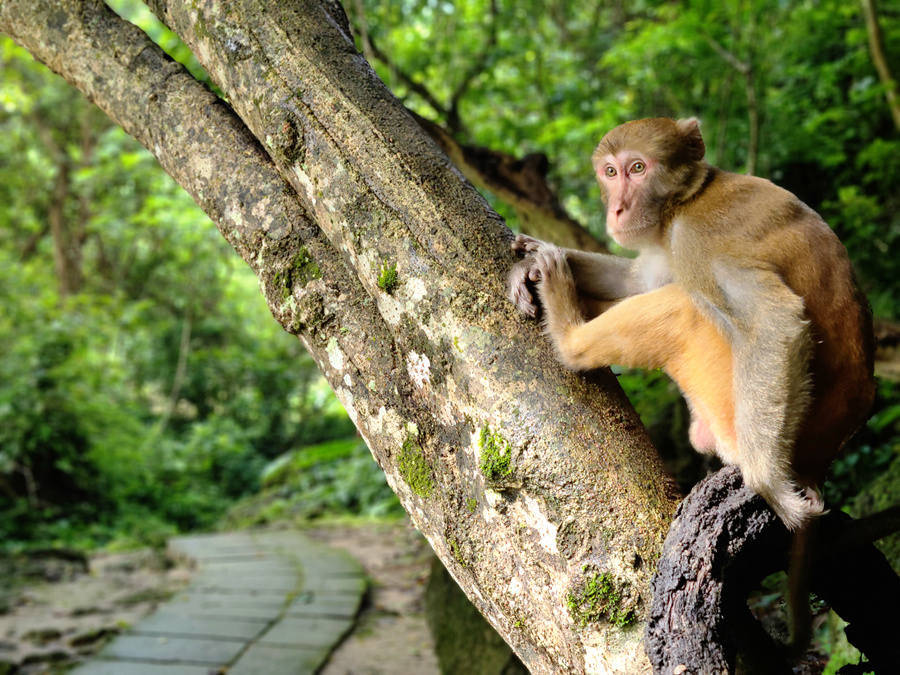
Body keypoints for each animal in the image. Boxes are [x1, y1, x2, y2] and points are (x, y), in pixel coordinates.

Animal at [512, 120, 872, 648]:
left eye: (638, 168)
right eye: (611, 172)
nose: (616, 208)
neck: (687, 199)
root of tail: (821, 458)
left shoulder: (696, 239)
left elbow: (775, 323)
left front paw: (770, 485)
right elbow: (638, 281)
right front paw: (530, 258)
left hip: (727, 404)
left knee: (684, 303)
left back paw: (569, 337)